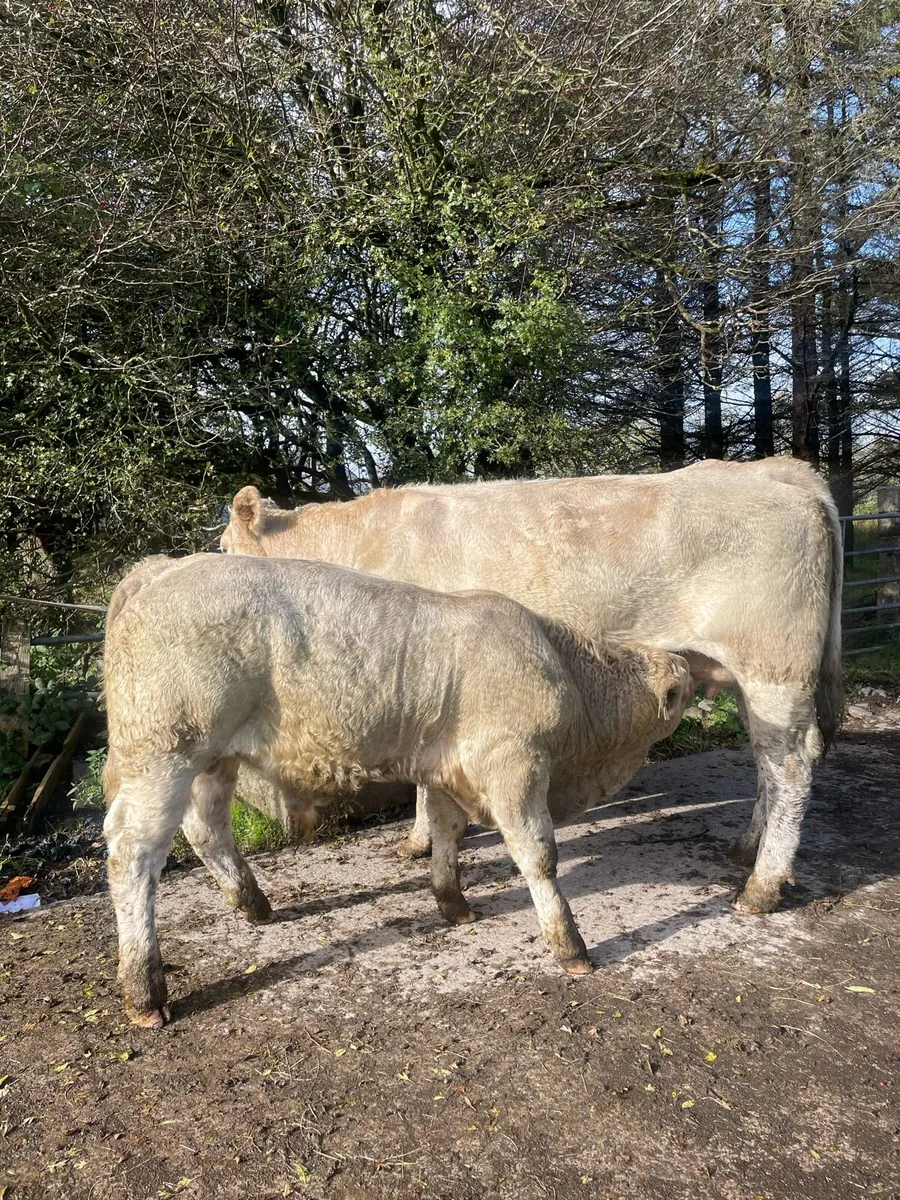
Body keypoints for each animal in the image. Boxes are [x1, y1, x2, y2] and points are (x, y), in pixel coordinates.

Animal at [102, 553, 694, 1027]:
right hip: (162, 752)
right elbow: (538, 855)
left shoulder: (447, 768)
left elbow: (448, 830)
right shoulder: (513, 763)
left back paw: (254, 904)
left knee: (206, 827)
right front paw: (570, 945)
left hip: (213, 758)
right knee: (134, 852)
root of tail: (162, 567)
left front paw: (453, 903)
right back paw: (145, 991)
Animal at [221, 458, 844, 917]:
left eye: (223, 549)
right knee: (769, 761)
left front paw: (419, 842)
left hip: (773, 668)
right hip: (749, 677)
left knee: (790, 765)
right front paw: (424, 841)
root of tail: (775, 471)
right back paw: (746, 847)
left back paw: (762, 886)